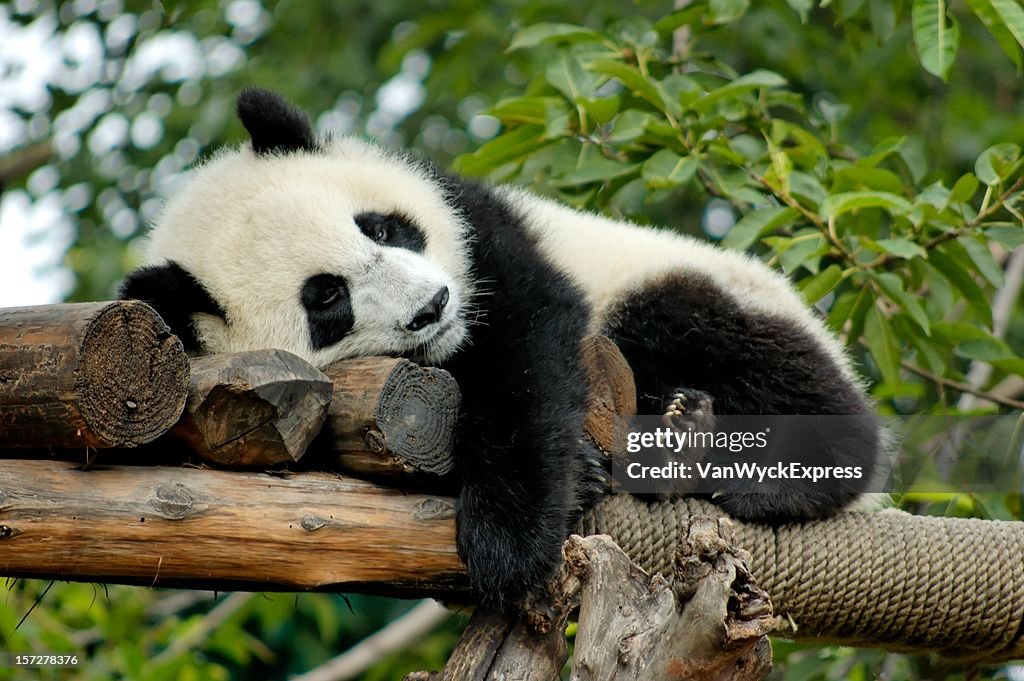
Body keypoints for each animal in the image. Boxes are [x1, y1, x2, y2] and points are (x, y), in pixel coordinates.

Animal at [123, 89, 884, 606]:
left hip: (692, 286)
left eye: (382, 227)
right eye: (327, 299)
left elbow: (529, 350)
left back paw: (741, 461)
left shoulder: (483, 235)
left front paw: (509, 538)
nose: (433, 306)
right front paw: (563, 489)